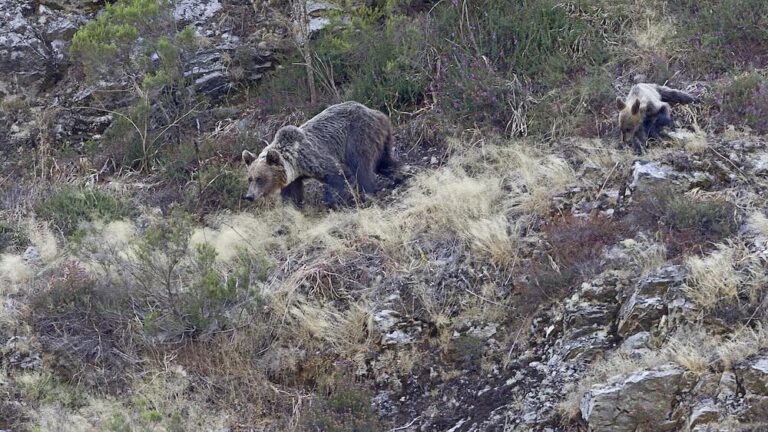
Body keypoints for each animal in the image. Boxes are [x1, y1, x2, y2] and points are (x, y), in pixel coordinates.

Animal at [241, 101, 398, 208]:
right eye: (249, 179)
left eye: (260, 178)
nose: (249, 196)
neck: (295, 164)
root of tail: (375, 112)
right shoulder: (293, 179)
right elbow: (292, 196)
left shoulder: (314, 159)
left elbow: (339, 175)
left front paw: (336, 201)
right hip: (382, 137)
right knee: (384, 161)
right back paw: (399, 174)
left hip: (358, 135)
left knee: (361, 166)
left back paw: (369, 192)